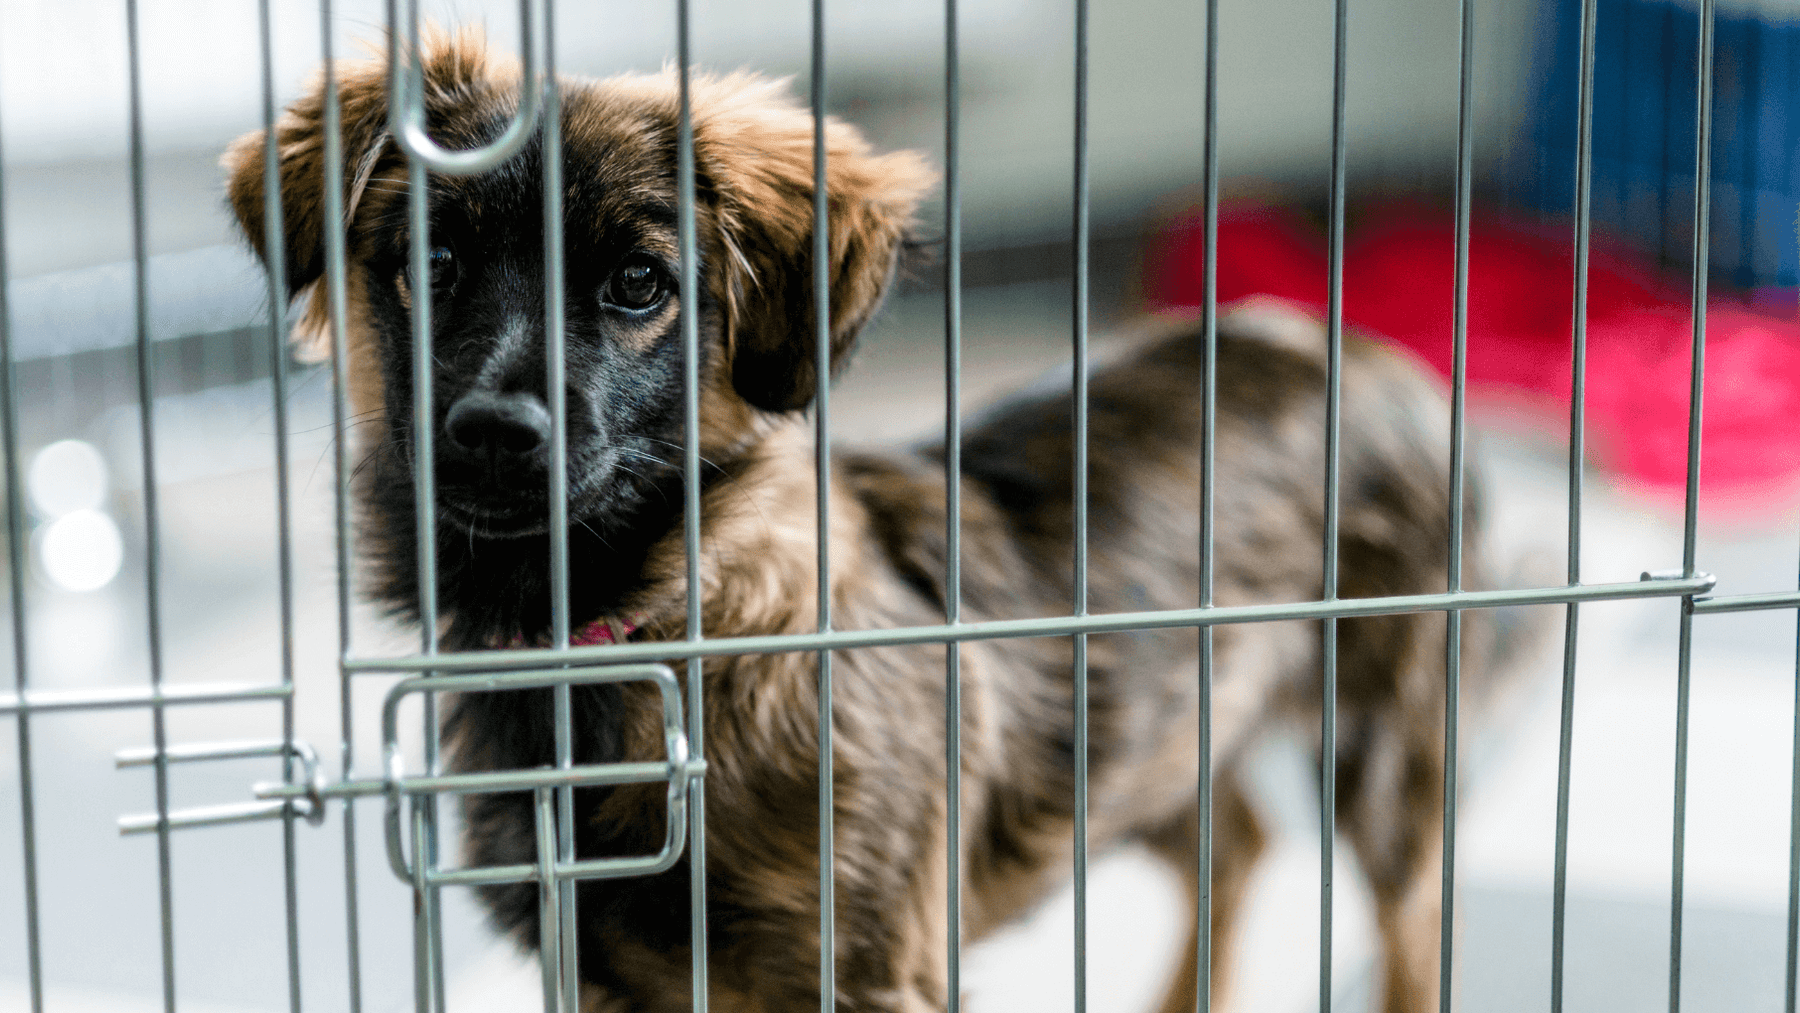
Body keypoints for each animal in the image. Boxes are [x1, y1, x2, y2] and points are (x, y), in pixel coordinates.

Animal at [221, 27, 1519, 1007]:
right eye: (430, 261)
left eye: (639, 283)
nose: (493, 433)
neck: (640, 633)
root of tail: (1353, 348)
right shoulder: (605, 972)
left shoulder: (865, 965)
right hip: (1160, 725)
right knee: (1237, 844)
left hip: (1384, 744)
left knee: (1412, 917)